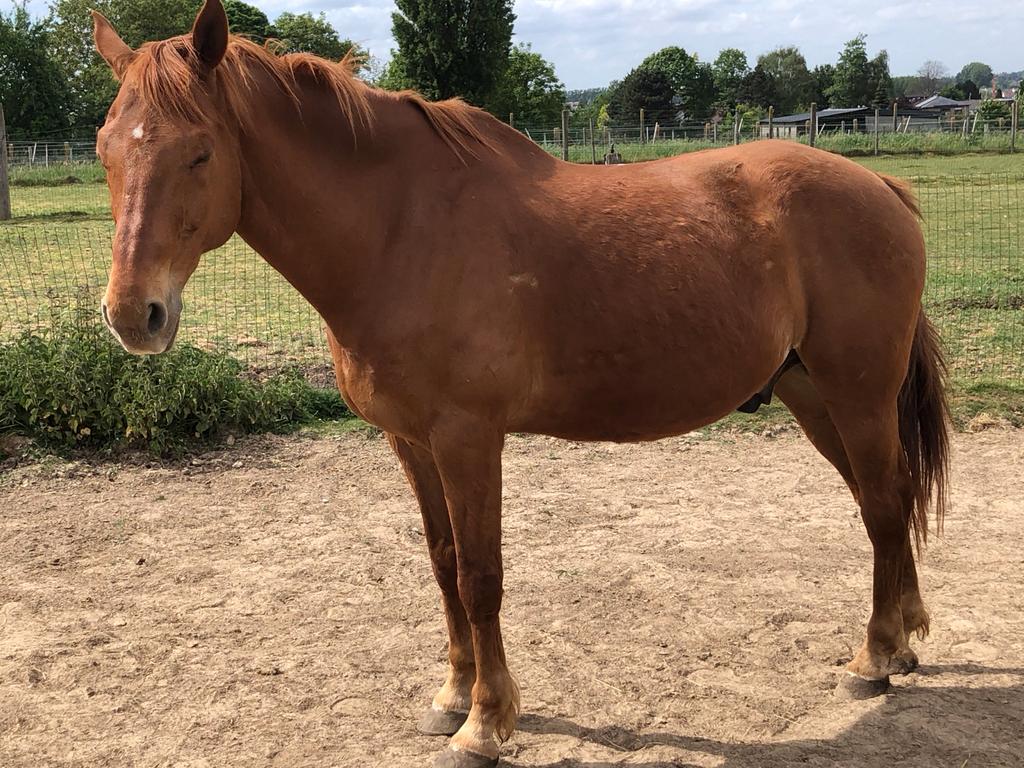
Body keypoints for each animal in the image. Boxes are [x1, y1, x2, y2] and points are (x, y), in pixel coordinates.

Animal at [92, 2, 949, 765]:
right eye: (105, 150)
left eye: (199, 152)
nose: (136, 315)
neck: (399, 231)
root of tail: (881, 188)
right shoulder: (410, 441)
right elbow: (442, 563)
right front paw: (451, 696)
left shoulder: (468, 437)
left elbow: (481, 577)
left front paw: (485, 724)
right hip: (812, 395)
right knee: (887, 499)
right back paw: (905, 639)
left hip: (857, 393)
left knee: (882, 503)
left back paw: (873, 660)